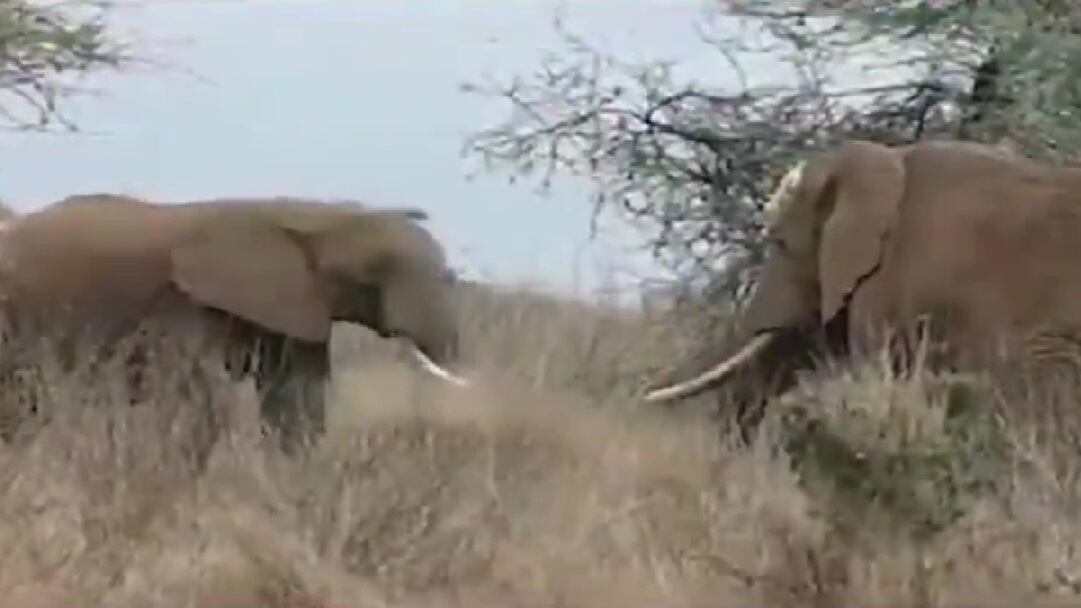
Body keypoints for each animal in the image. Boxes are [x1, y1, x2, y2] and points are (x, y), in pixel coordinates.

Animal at [0, 193, 469, 456]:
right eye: (373, 271)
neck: (306, 214)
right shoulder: (183, 302)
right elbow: (193, 395)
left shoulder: (296, 304)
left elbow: (295, 397)